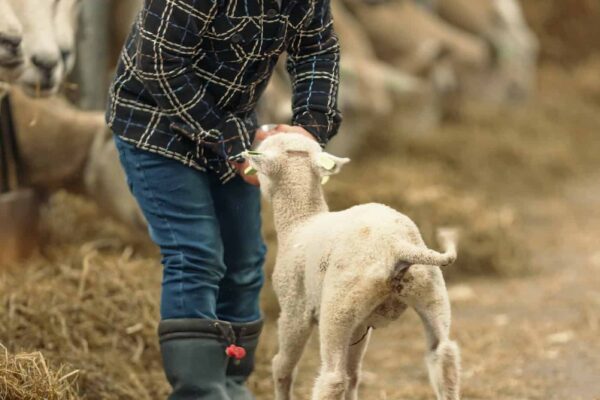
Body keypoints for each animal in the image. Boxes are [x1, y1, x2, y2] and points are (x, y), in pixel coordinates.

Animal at [246, 134, 462, 400]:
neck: (300, 222)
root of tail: (397, 246)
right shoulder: (360, 325)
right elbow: (354, 373)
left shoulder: (294, 308)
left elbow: (282, 367)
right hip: (428, 292)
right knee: (444, 355)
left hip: (337, 307)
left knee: (333, 377)